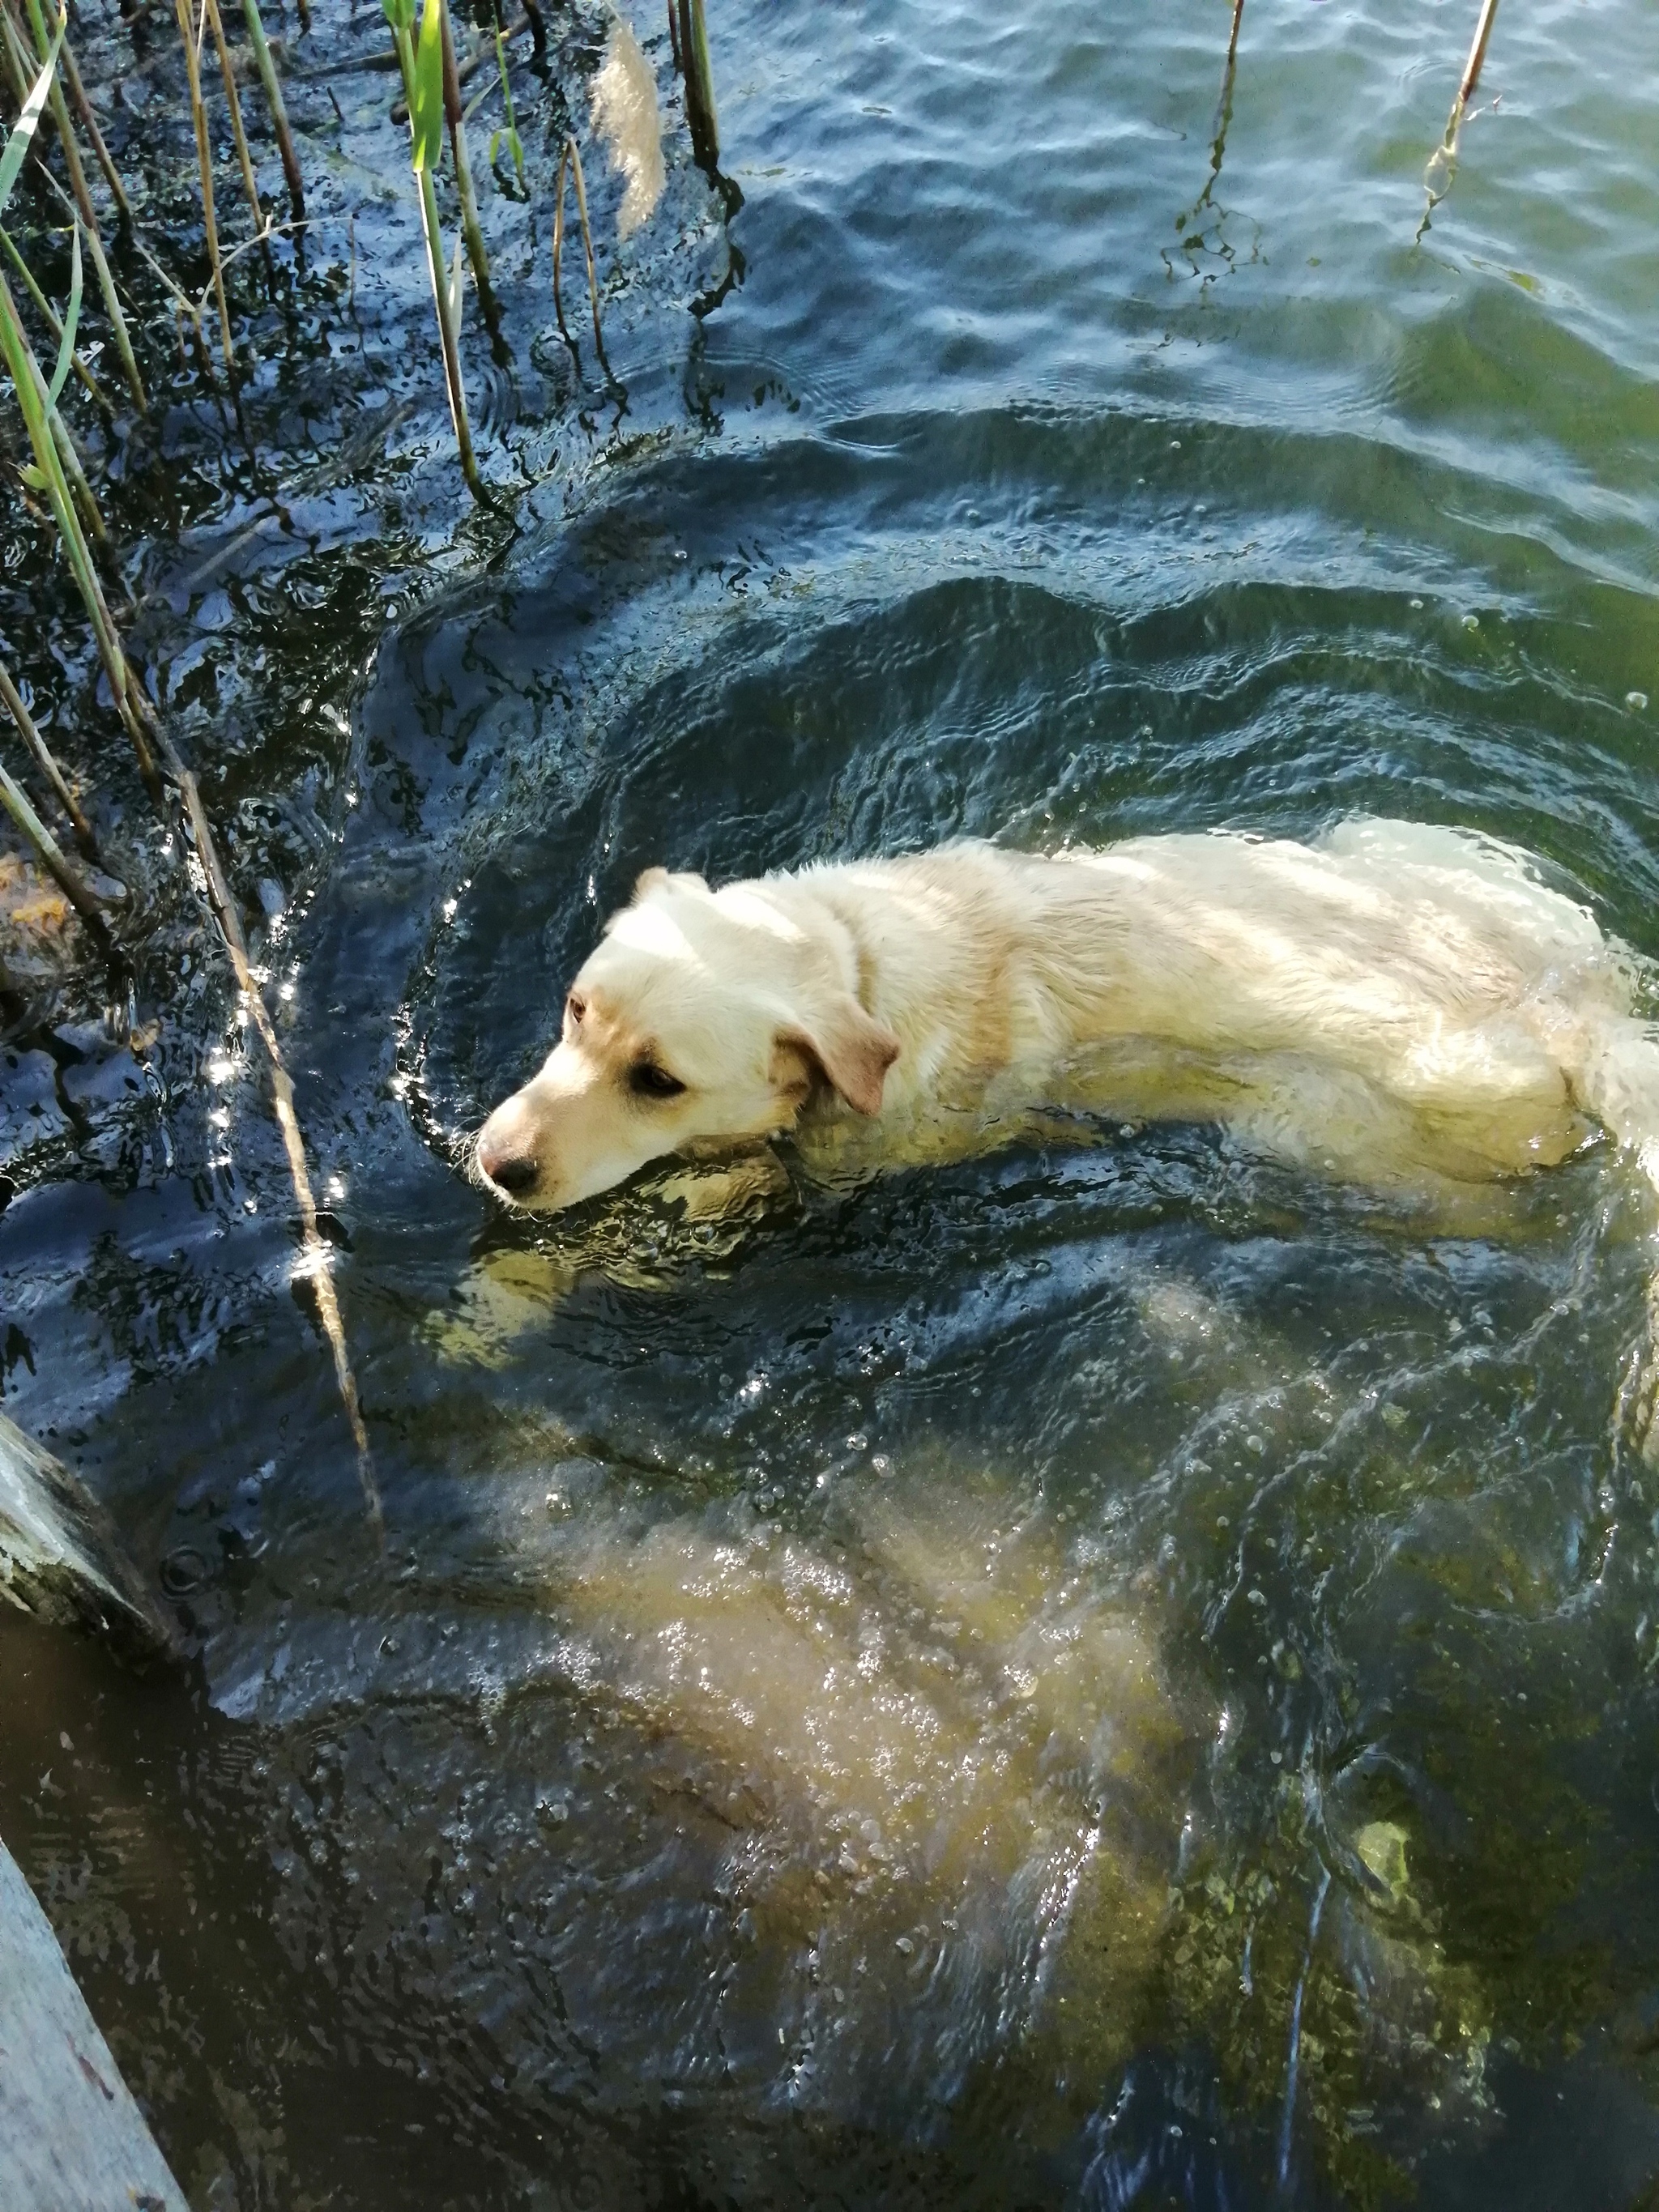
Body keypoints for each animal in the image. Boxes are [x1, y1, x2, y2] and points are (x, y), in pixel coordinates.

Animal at [477, 822, 1659, 1230]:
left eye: (658, 1081)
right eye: (576, 1010)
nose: (496, 1163)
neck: (855, 962)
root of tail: (1566, 1003)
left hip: (1320, 1120)